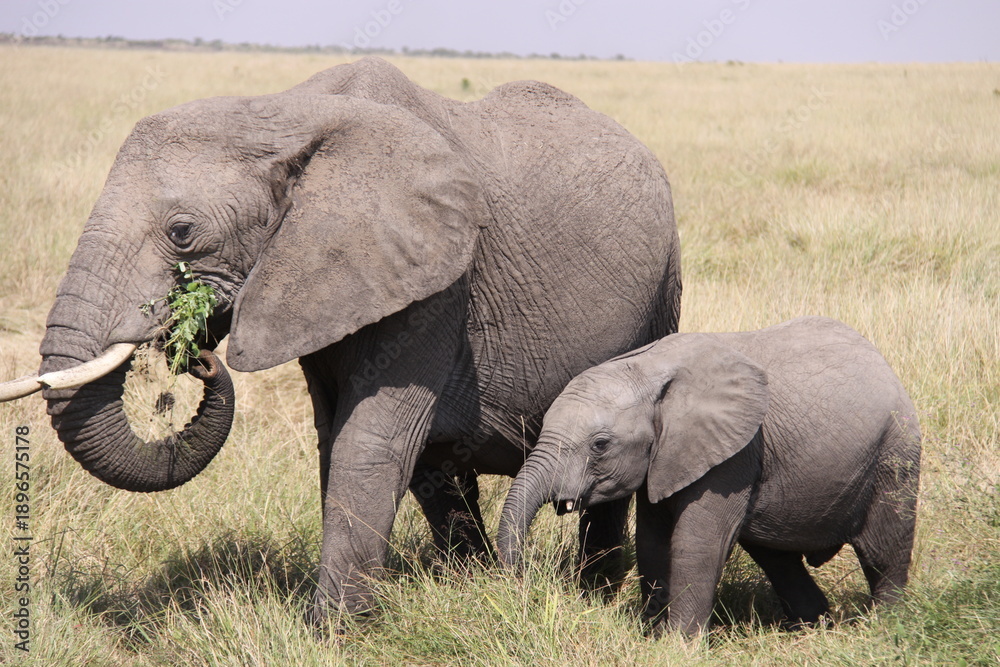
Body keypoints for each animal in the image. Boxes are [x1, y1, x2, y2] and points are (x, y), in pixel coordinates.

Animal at [0, 57, 682, 625]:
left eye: (182, 232)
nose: (197, 355)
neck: (285, 113)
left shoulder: (437, 278)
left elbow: (369, 438)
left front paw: (331, 631)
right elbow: (336, 438)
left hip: (662, 290)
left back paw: (593, 593)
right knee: (438, 471)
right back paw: (476, 579)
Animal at [497, 316, 921, 636]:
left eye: (600, 445)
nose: (520, 580)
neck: (648, 369)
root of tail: (884, 363)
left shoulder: (733, 454)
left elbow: (696, 542)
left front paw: (677, 646)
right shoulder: (666, 457)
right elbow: (653, 540)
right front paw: (653, 635)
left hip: (895, 452)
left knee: (884, 550)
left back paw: (885, 628)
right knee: (775, 556)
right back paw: (811, 626)